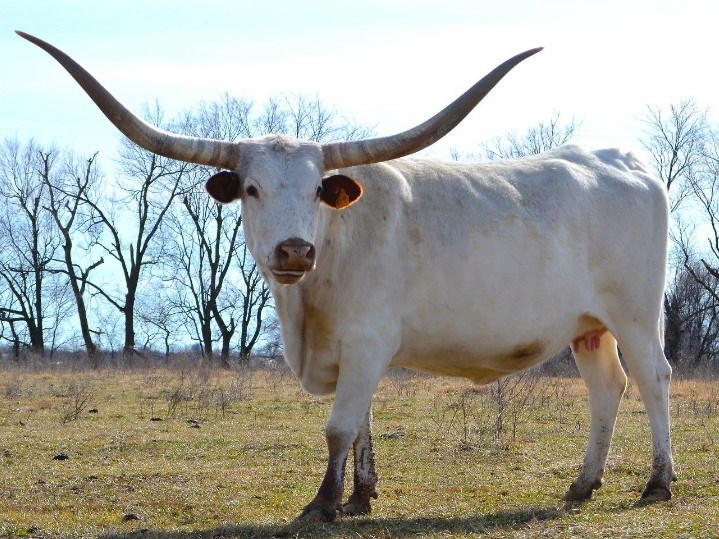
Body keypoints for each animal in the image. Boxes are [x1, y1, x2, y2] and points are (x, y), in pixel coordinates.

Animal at [17, 31, 675, 522]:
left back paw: (658, 483)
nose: (294, 249)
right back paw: (582, 485)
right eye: (251, 188)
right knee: (606, 387)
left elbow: (338, 426)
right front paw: (361, 495)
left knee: (652, 379)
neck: (311, 298)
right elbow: (361, 424)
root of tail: (626, 161)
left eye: (316, 189)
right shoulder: (354, 350)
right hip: (589, 325)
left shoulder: (367, 341)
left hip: (637, 315)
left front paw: (324, 504)